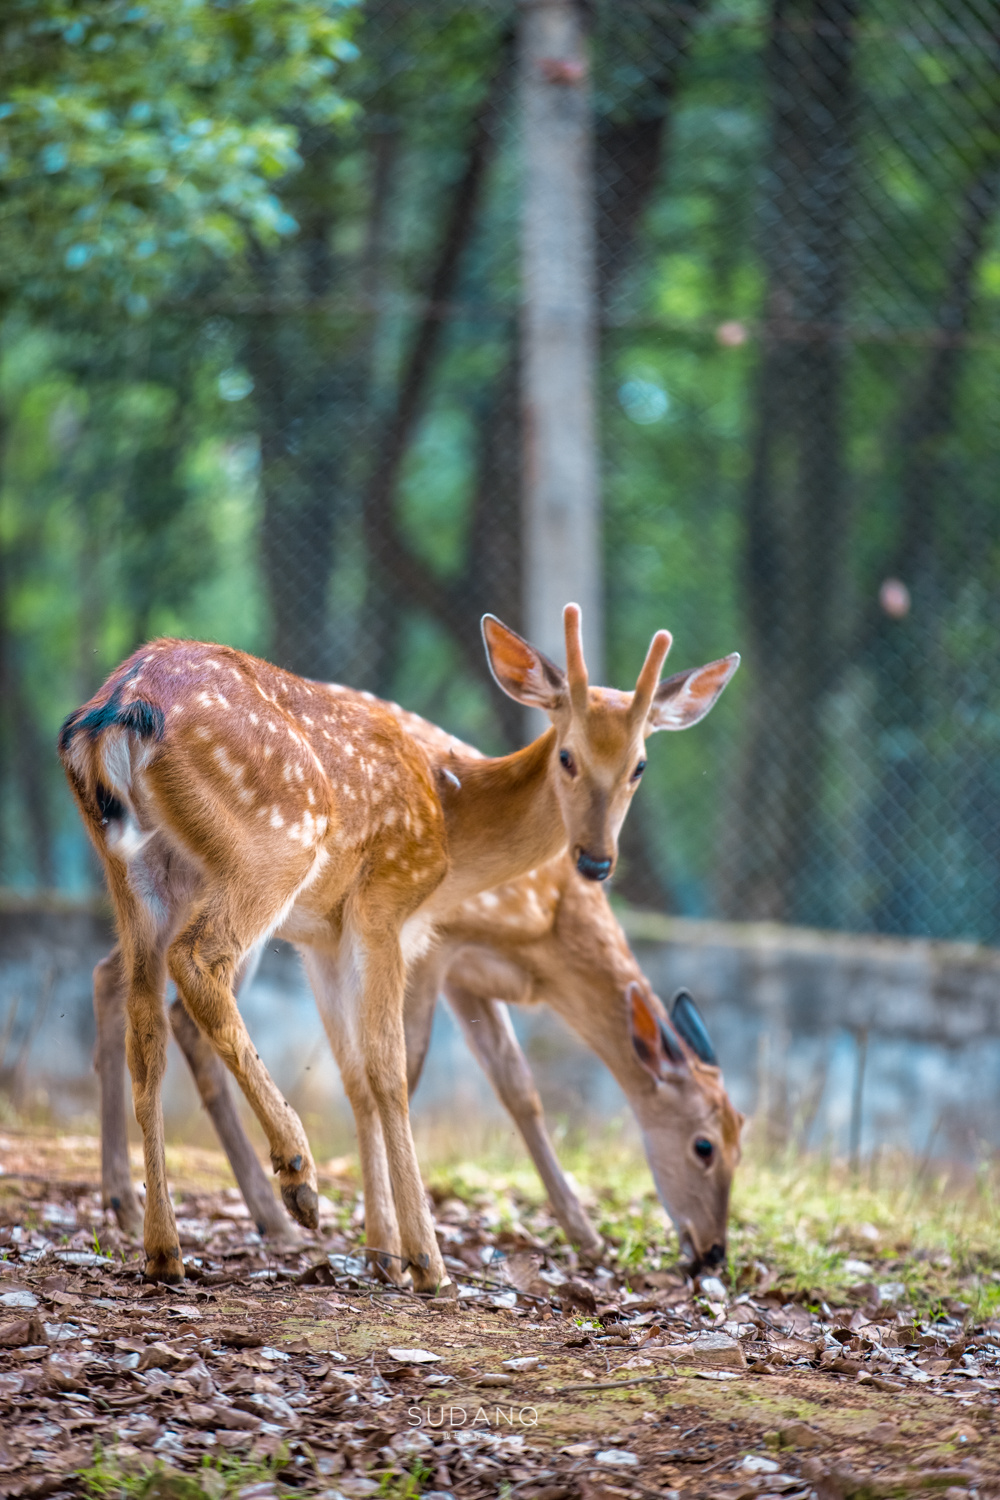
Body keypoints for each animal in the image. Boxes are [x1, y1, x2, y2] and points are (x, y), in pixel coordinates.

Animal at [61, 604, 737, 1286]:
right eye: (568, 756)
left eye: (639, 765)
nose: (597, 860)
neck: (451, 819)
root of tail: (115, 712)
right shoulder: (389, 909)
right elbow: (394, 1070)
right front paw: (424, 1260)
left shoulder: (325, 937)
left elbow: (359, 1076)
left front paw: (381, 1249)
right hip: (274, 849)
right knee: (198, 966)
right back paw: (294, 1181)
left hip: (138, 877)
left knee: (143, 1025)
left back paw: (162, 1246)